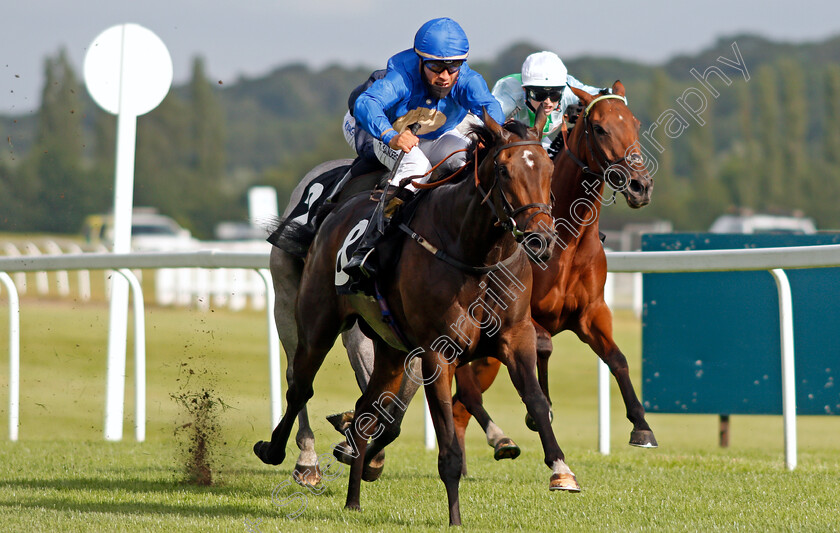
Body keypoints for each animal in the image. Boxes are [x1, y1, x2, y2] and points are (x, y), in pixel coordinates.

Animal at [256, 113, 584, 524]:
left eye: (548, 169)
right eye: (504, 170)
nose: (542, 239)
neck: (476, 254)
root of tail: (334, 212)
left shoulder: (516, 336)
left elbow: (537, 402)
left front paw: (562, 470)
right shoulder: (437, 352)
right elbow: (447, 444)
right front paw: (455, 519)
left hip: (390, 347)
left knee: (364, 408)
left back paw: (353, 498)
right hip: (315, 322)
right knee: (300, 385)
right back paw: (285, 455)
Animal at [450, 79, 660, 466]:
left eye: (635, 124)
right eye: (599, 128)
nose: (641, 186)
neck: (568, 240)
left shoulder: (591, 313)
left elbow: (618, 359)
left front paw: (642, 426)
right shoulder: (526, 319)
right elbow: (544, 347)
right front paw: (540, 411)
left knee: (460, 403)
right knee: (466, 394)